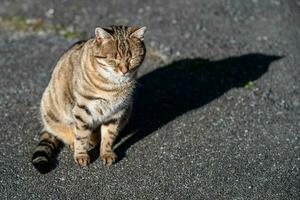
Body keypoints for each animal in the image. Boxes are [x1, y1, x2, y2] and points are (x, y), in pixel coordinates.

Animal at [31, 25, 146, 172]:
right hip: (49, 107)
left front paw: (106, 153)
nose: (124, 70)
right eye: (113, 59)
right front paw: (81, 155)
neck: (114, 86)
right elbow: (81, 136)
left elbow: (109, 135)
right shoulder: (82, 110)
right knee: (65, 132)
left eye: (132, 58)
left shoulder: (116, 112)